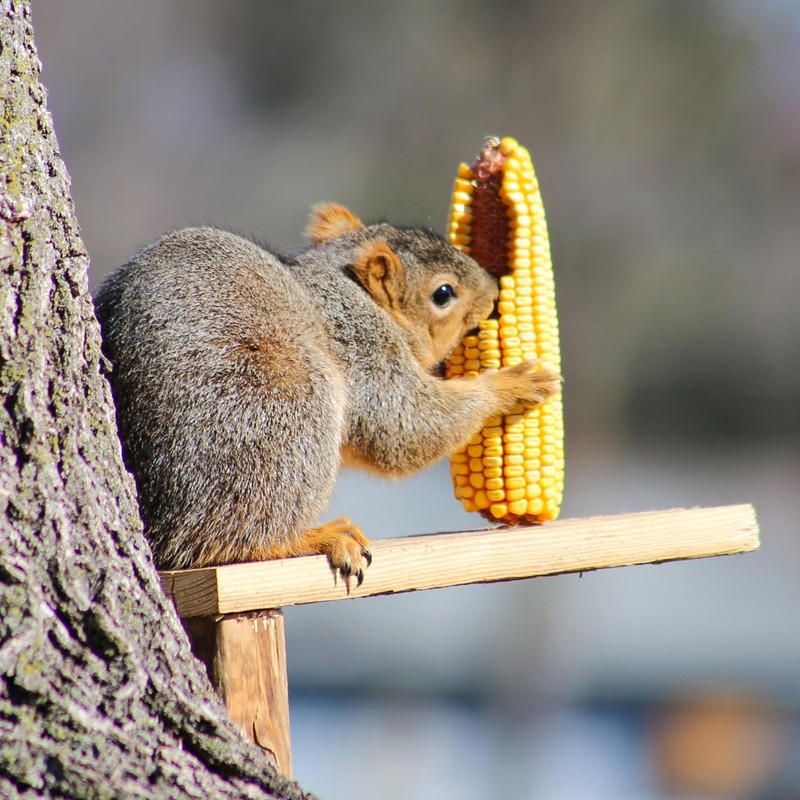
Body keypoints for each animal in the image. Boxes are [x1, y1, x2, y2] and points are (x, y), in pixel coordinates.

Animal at [94, 203, 561, 583]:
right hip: (285, 410)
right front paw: (512, 383)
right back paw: (318, 537)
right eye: (443, 294)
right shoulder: (362, 347)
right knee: (227, 539)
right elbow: (404, 428)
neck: (351, 288)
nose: (496, 292)